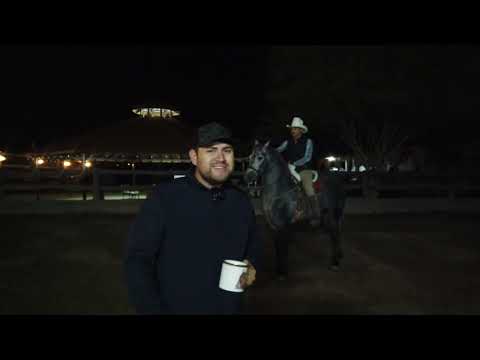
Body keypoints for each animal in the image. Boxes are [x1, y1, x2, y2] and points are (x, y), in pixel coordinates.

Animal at [244, 140, 344, 276]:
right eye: (250, 156)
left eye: (260, 157)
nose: (248, 176)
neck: (279, 189)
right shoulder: (273, 226)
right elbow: (277, 248)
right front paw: (278, 270)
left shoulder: (283, 225)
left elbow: (282, 248)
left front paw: (282, 272)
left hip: (332, 215)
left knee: (334, 235)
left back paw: (335, 263)